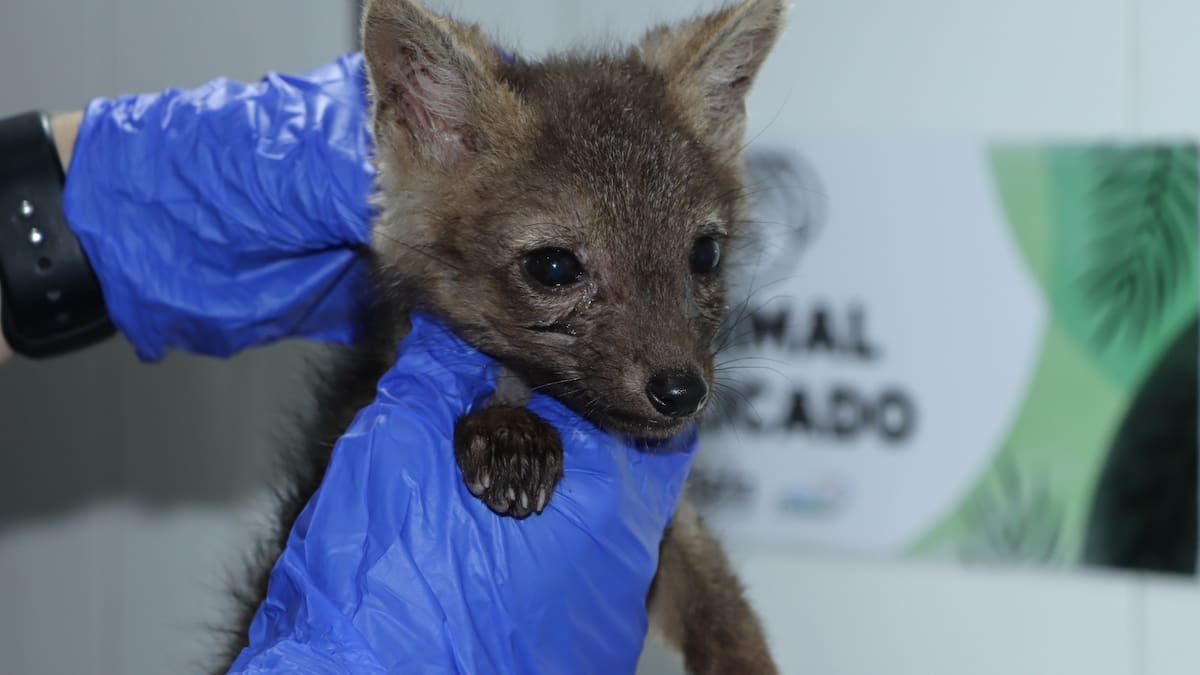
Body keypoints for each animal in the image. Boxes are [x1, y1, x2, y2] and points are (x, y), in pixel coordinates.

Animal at [225, 0, 786, 672]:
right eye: (554, 267)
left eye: (705, 255)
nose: (681, 392)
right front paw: (508, 435)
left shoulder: (678, 533)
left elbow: (730, 619)